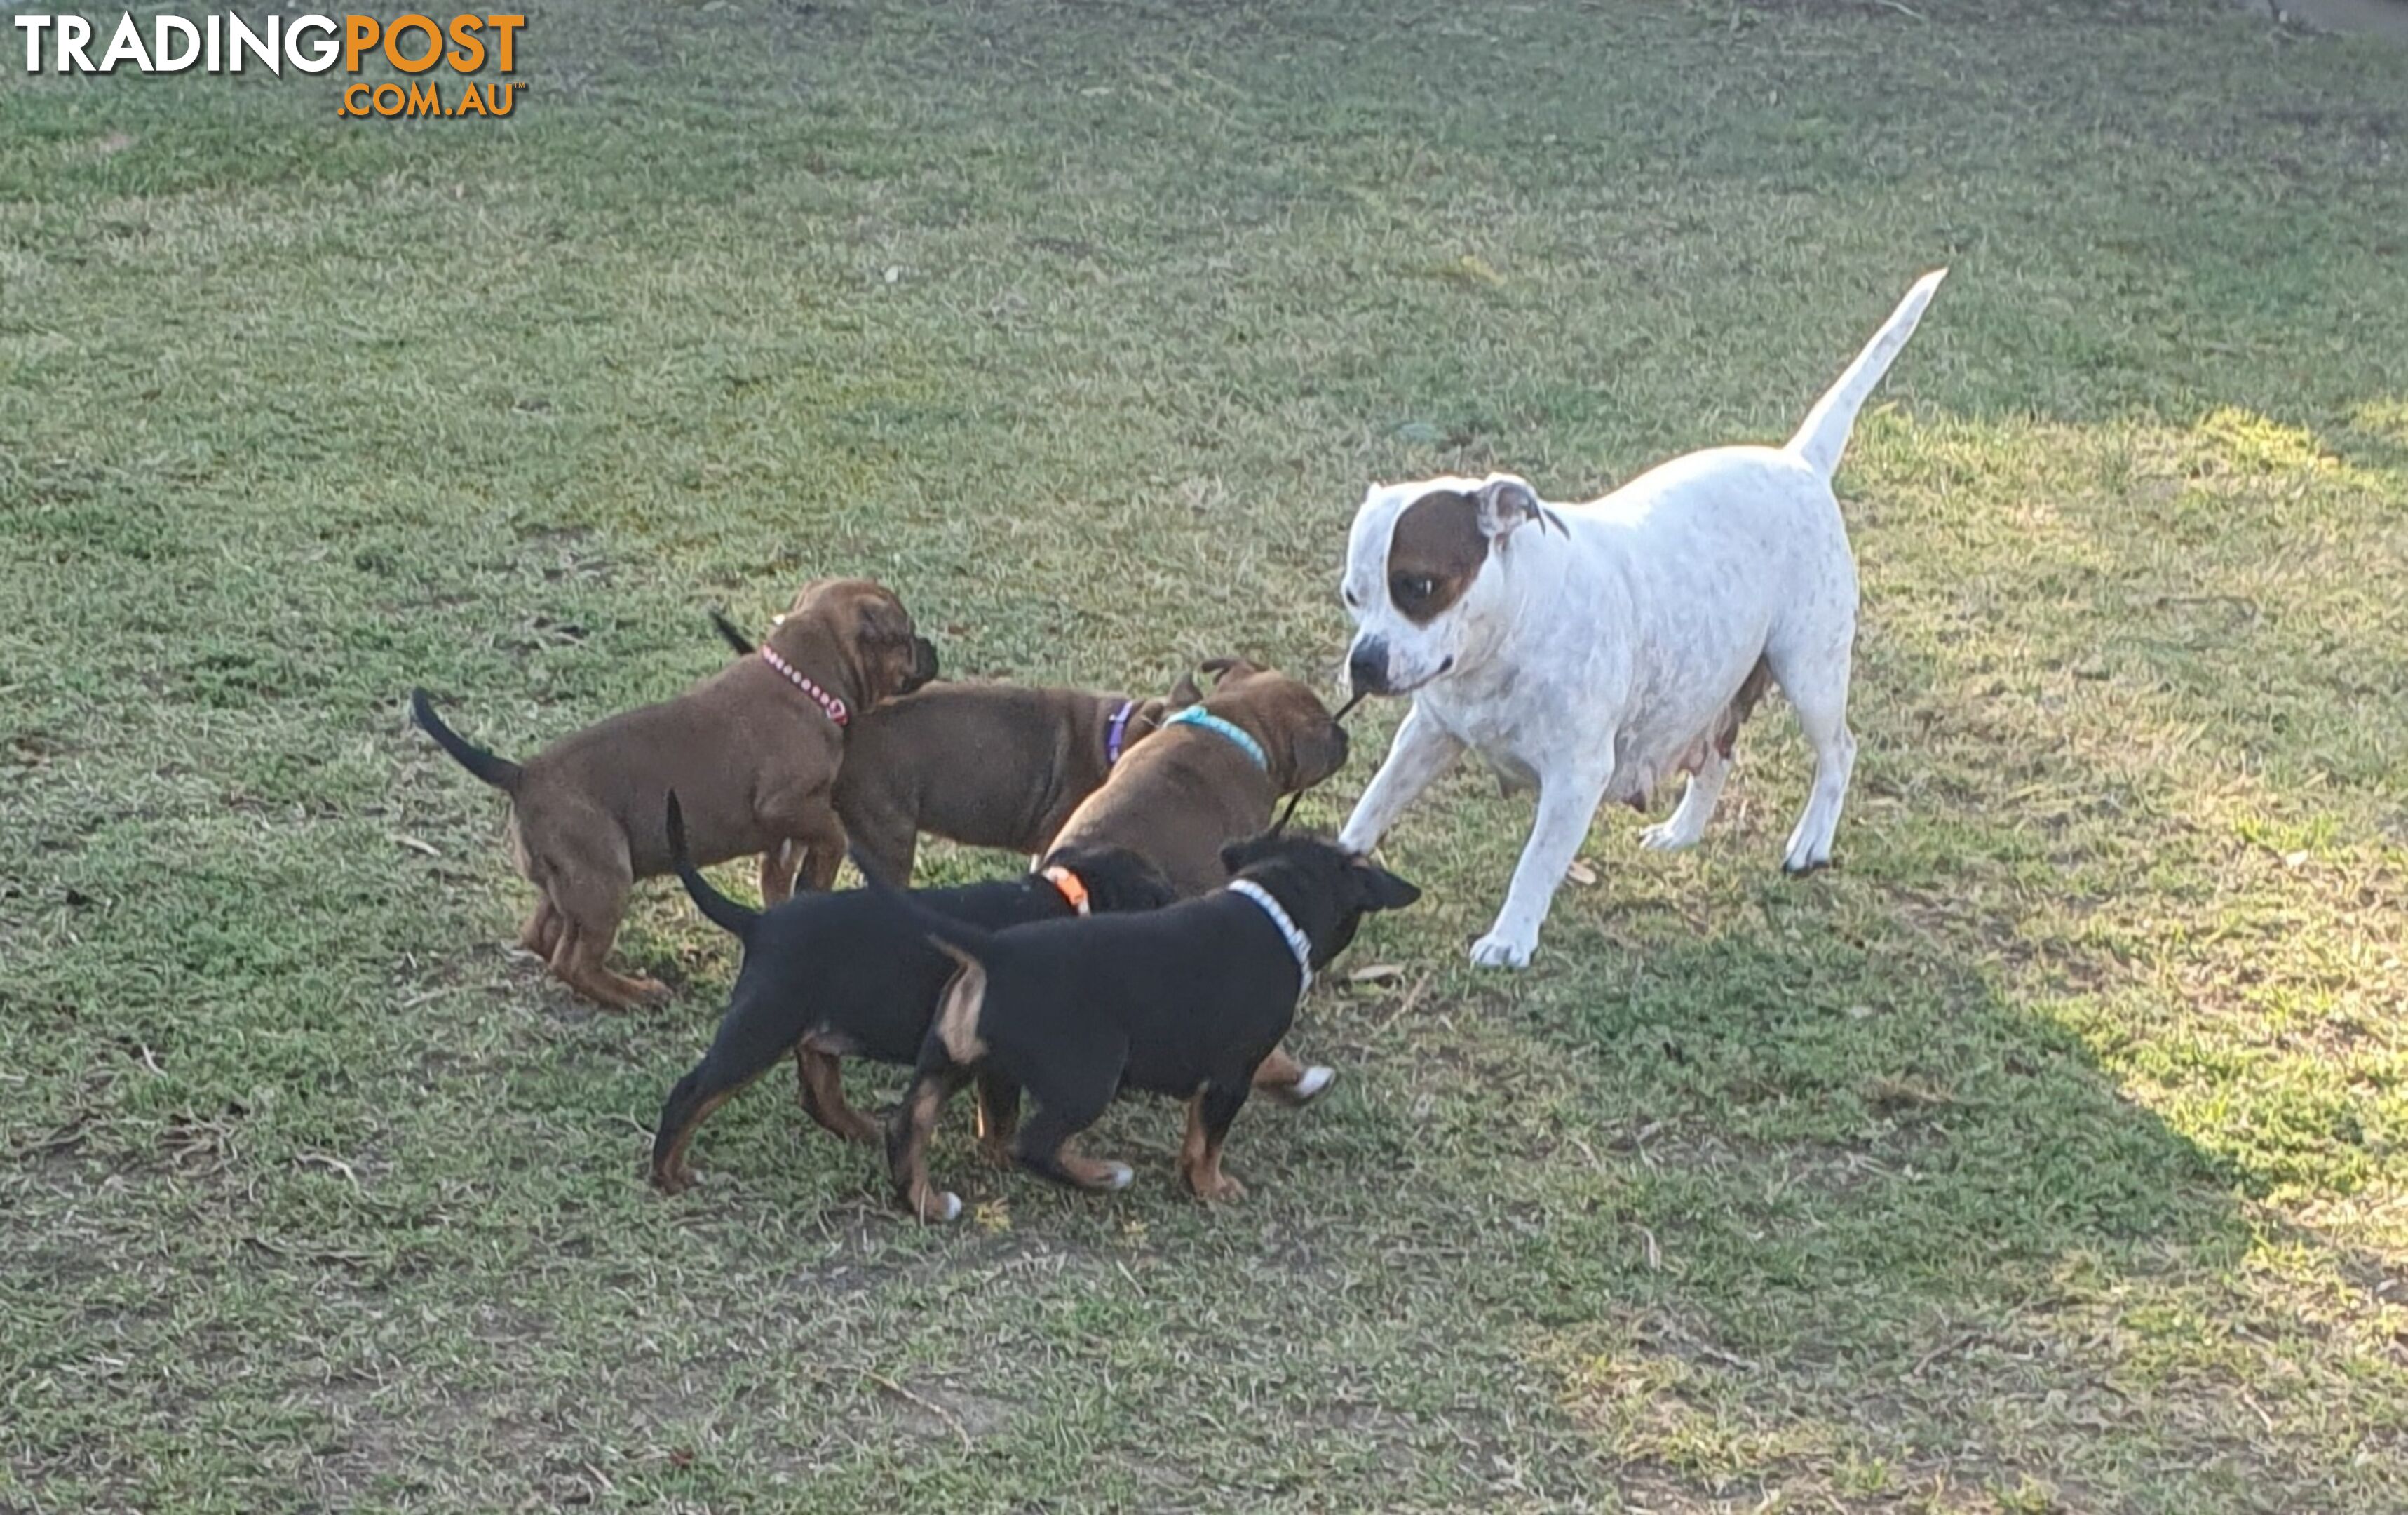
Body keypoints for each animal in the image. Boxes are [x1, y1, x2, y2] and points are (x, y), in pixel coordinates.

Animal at [409, 575, 934, 1006]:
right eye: (906, 636)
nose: (930, 645)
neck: (805, 678)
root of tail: (519, 774)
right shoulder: (788, 804)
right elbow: (833, 835)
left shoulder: (780, 837)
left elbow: (780, 880)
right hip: (606, 881)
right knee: (572, 960)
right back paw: (635, 994)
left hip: (567, 880)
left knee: (541, 935)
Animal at [650, 790, 1175, 1194]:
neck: (1069, 900)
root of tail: (757, 924)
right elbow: (1004, 1118)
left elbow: (994, 1113)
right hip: (762, 1025)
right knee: (689, 1093)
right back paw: (669, 1175)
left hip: (814, 1028)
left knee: (819, 1096)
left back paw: (862, 1129)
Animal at [872, 828, 1406, 1218]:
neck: (1274, 906)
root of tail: (995, 951)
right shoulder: (1232, 1074)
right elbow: (1210, 1140)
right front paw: (1213, 1188)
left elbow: (1215, 1118)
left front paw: (1302, 1084)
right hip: (1090, 1078)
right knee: (1033, 1144)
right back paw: (1105, 1176)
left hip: (950, 1060)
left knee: (908, 1128)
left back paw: (927, 1202)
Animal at [1348, 268, 1945, 968]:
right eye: (1352, 596)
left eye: (1419, 585)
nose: (1364, 663)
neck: (1510, 635)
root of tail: (1800, 460)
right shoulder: (1427, 736)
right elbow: (1371, 805)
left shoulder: (1576, 777)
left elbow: (1535, 864)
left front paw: (1510, 936)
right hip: (1719, 686)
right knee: (1719, 756)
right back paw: (1682, 832)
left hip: (1811, 673)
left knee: (1839, 751)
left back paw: (1811, 841)